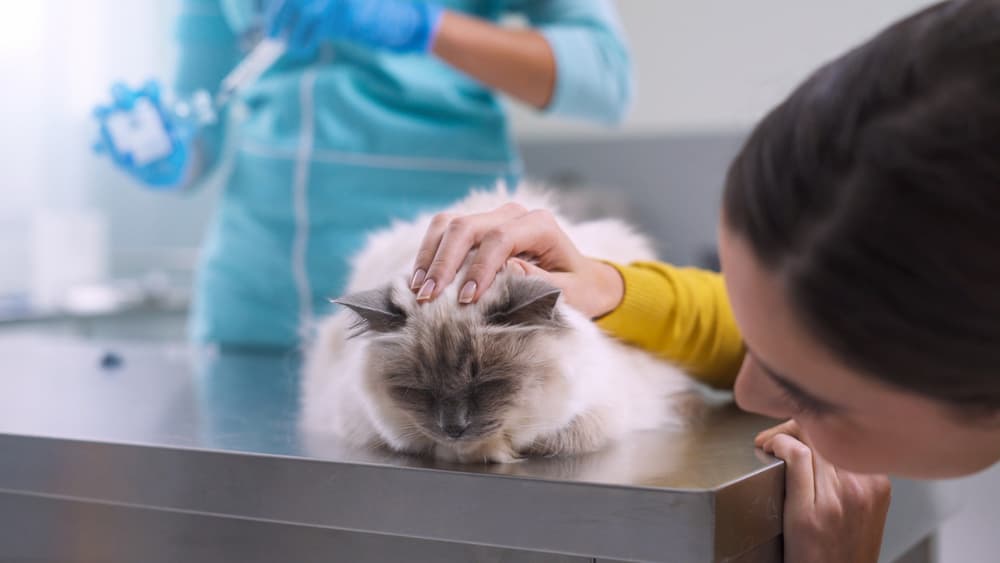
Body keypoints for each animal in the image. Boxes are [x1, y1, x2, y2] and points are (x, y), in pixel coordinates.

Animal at [300, 184, 700, 462]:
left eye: (489, 385)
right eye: (418, 391)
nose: (453, 428)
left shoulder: (602, 412)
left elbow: (550, 436)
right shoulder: (359, 420)